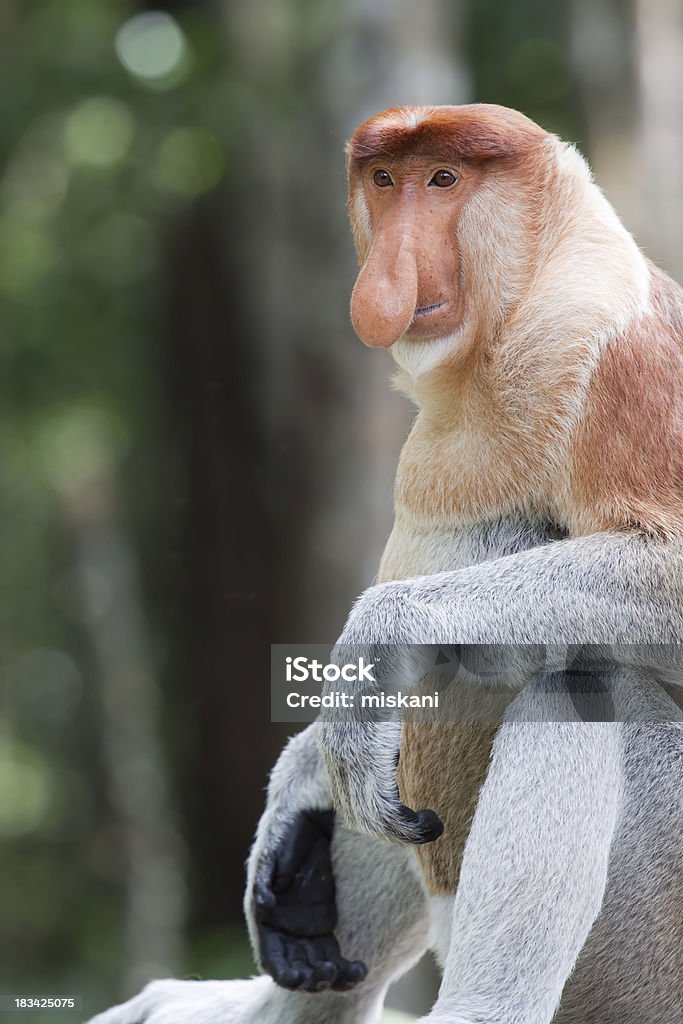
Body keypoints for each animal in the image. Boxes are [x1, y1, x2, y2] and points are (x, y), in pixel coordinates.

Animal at [92, 101, 683, 1024]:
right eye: (383, 181)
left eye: (442, 180)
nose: (386, 276)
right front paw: (297, 786)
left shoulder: (609, 351)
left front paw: (378, 639)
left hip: (651, 947)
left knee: (583, 684)